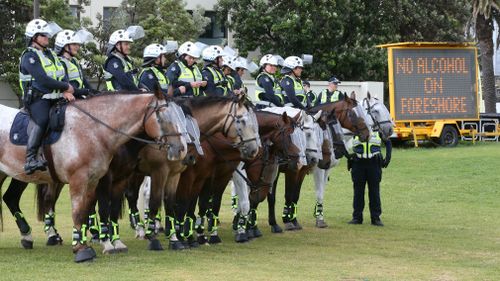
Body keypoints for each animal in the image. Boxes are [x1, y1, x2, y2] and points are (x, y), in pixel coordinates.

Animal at [0, 90, 184, 262]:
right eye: (162, 116)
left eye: (180, 115)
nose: (181, 149)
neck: (92, 129)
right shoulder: (82, 180)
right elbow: (84, 211)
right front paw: (85, 249)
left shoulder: (97, 180)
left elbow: (89, 211)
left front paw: (93, 244)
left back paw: (29, 236)